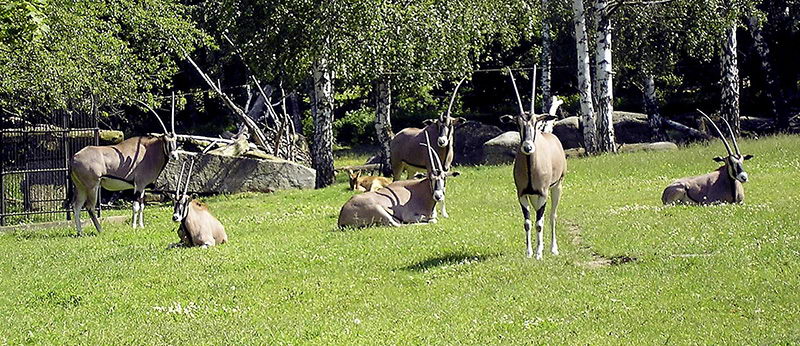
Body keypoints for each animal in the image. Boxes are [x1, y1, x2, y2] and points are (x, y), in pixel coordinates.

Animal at [69, 98, 177, 237]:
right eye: (165, 140)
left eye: (176, 140)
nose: (174, 156)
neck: (148, 150)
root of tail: (74, 158)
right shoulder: (139, 185)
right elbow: (136, 206)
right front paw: (134, 226)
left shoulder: (142, 187)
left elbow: (142, 206)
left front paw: (141, 226)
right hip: (92, 186)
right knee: (89, 207)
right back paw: (100, 230)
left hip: (80, 187)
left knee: (76, 206)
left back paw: (80, 232)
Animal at [390, 78, 466, 219]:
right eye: (437, 125)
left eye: (450, 124)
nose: (442, 141)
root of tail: (396, 136)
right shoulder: (431, 167)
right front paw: (435, 212)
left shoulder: (446, 169)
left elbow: (443, 187)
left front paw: (444, 213)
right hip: (397, 166)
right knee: (395, 180)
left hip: (411, 169)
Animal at [504, 69, 564, 260]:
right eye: (517, 124)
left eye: (535, 121)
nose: (528, 147)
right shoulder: (522, 194)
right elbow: (528, 222)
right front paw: (529, 252)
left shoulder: (543, 193)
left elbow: (539, 223)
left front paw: (539, 253)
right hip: (534, 196)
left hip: (557, 187)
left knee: (552, 216)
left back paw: (552, 248)